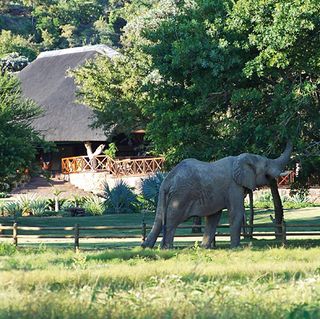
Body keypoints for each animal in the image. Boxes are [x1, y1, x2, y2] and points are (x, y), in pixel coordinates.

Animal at [141, 142, 292, 250]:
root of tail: (167, 180)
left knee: (160, 218)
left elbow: (213, 217)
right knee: (172, 219)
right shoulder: (233, 186)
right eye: (266, 164)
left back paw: (148, 247)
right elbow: (236, 212)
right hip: (181, 195)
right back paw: (167, 248)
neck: (240, 158)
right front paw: (236, 248)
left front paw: (204, 248)